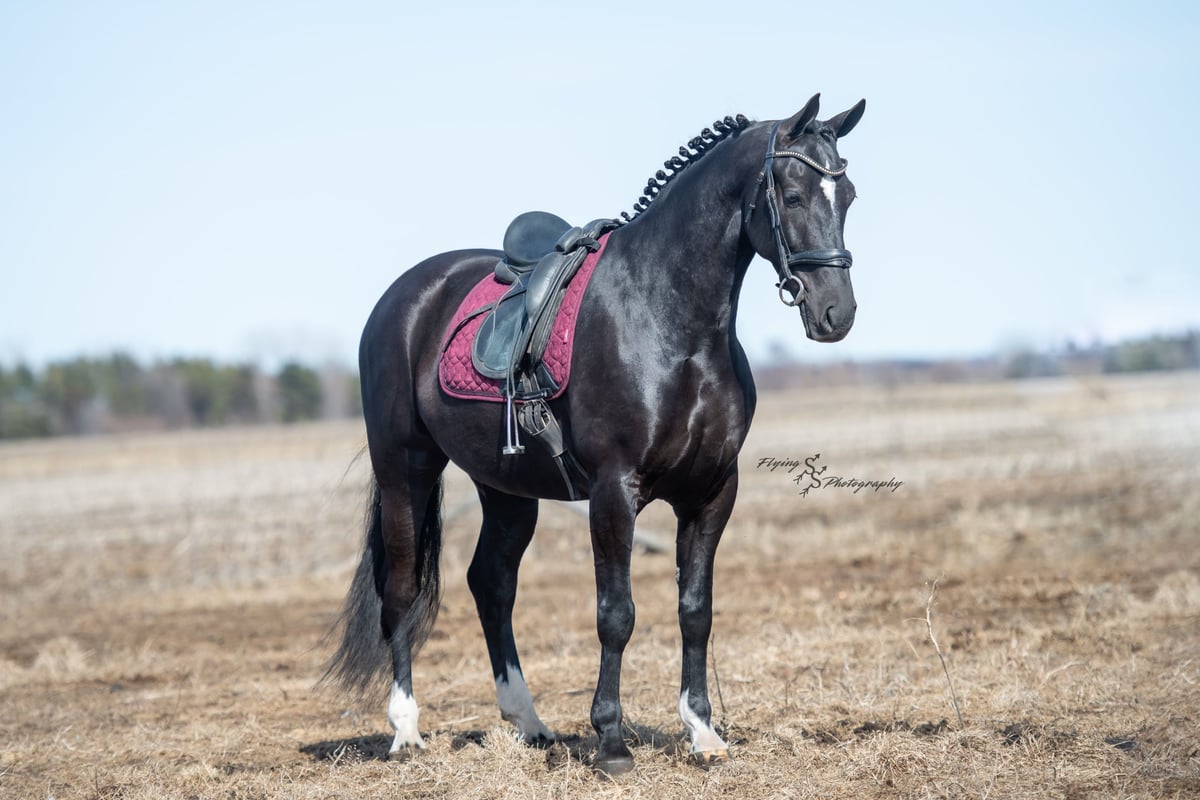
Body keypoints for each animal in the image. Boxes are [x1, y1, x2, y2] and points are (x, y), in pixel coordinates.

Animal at [324, 93, 865, 775]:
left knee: (491, 585)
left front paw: (703, 731)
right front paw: (610, 741)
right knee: (400, 588)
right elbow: (617, 614)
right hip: (405, 469)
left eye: (848, 196)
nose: (836, 313)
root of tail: (402, 297)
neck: (671, 322)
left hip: (507, 489)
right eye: (792, 195)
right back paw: (405, 731)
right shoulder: (614, 492)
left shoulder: (713, 492)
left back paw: (529, 723)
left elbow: (696, 610)